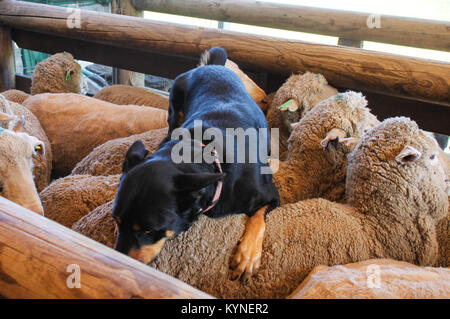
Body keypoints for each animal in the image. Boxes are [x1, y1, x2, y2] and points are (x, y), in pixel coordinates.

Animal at [72, 116, 448, 298]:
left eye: (148, 229)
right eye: (431, 157)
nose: (114, 265)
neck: (372, 222)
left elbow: (257, 218)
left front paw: (248, 252)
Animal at [112, 47, 280, 282]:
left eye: (148, 231)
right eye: (116, 220)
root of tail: (211, 66)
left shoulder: (271, 195)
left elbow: (258, 218)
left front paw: (247, 256)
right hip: (175, 107)